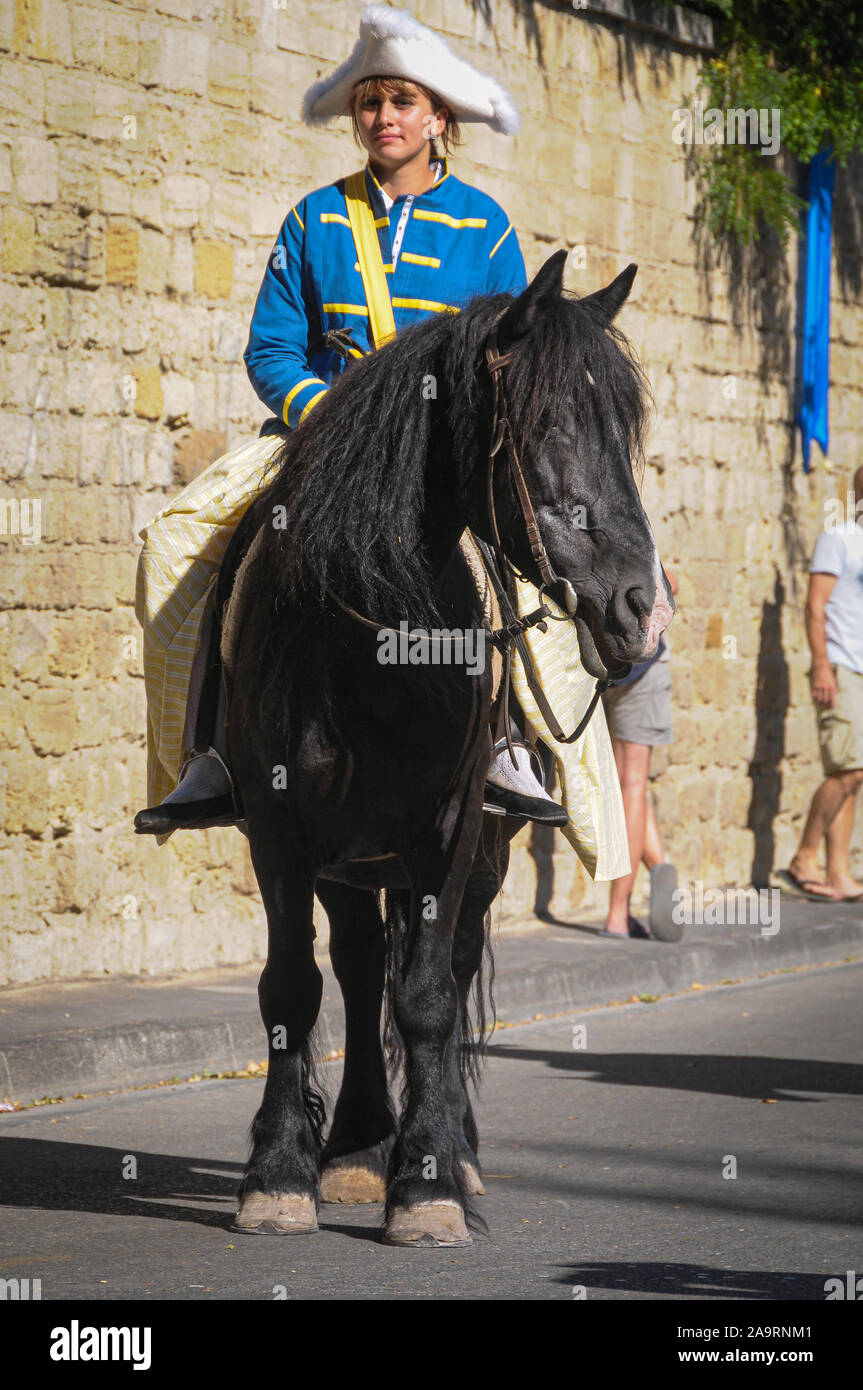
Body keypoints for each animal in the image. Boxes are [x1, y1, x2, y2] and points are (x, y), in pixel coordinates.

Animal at [216, 252, 672, 1251]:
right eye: (543, 424)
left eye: (622, 432)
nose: (639, 611)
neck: (371, 639)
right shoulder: (277, 826)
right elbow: (290, 989)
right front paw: (279, 1173)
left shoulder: (452, 827)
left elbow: (427, 995)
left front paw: (426, 1186)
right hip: (349, 858)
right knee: (356, 969)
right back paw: (353, 1149)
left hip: (479, 851)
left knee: (444, 970)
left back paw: (448, 1154)